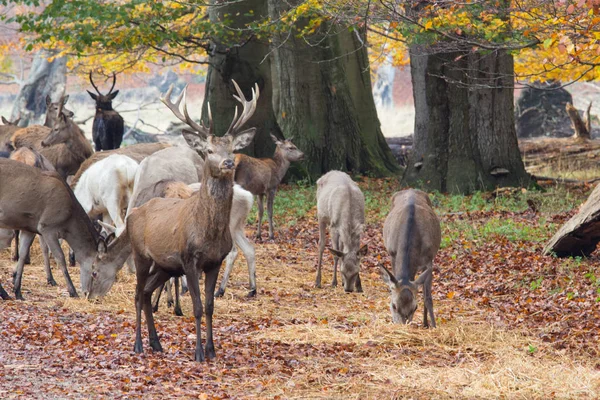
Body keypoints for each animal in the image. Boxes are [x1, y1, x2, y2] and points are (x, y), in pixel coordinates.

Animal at [0, 158, 104, 298]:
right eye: (95, 272)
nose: (92, 295)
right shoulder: (47, 226)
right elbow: (59, 257)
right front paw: (72, 291)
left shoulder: (29, 228)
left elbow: (22, 255)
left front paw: (18, 292)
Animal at [89, 79, 258, 360]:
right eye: (209, 149)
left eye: (233, 148)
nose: (228, 162)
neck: (207, 231)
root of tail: (135, 214)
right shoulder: (189, 259)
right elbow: (197, 307)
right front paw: (198, 352)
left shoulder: (214, 262)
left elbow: (210, 306)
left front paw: (211, 350)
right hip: (143, 256)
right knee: (138, 295)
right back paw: (138, 345)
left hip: (164, 265)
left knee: (146, 293)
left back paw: (156, 343)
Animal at [380, 189, 440, 326]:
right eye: (394, 305)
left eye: (415, 307)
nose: (403, 324)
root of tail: (411, 189)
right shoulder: (393, 253)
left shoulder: (429, 259)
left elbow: (427, 297)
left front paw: (432, 325)